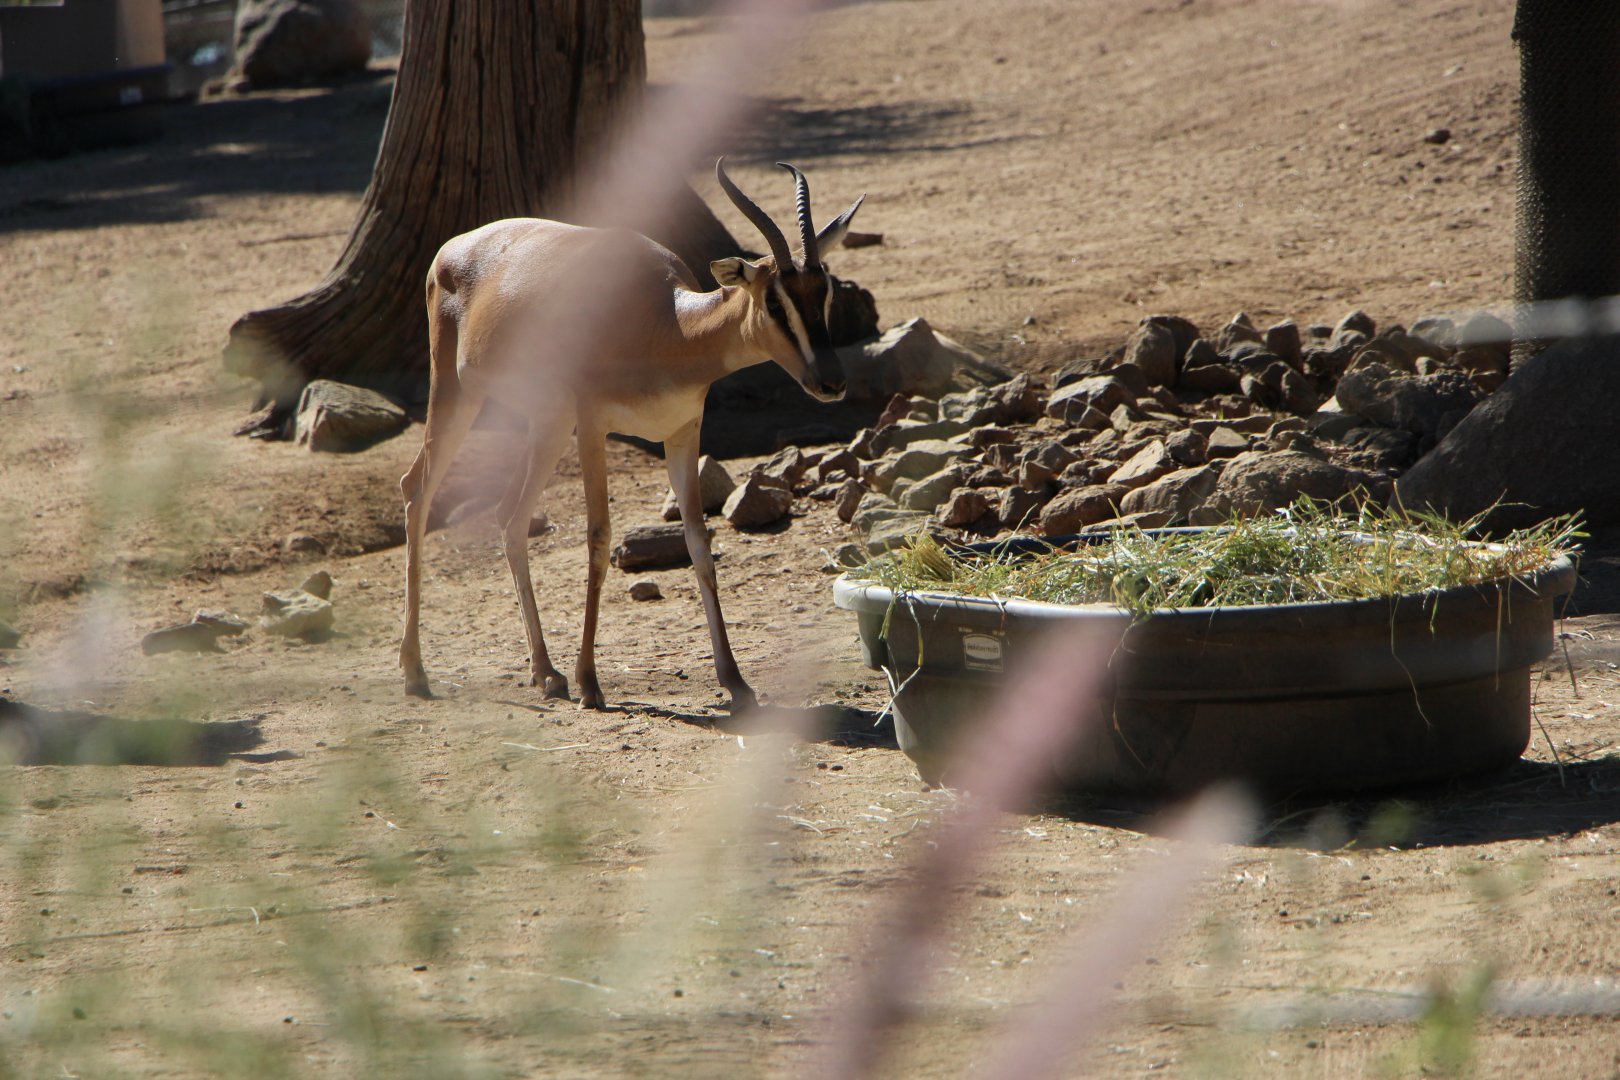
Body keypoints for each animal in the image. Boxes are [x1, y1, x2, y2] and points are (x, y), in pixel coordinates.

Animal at [399, 159, 864, 711]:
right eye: (775, 301)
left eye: (825, 291)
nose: (832, 381)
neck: (667, 325)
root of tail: (454, 247)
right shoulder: (593, 427)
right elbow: (599, 538)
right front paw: (590, 683)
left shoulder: (682, 432)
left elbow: (699, 541)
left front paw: (735, 681)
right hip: (460, 397)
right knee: (418, 488)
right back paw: (416, 672)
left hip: (546, 422)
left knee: (509, 515)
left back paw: (545, 673)